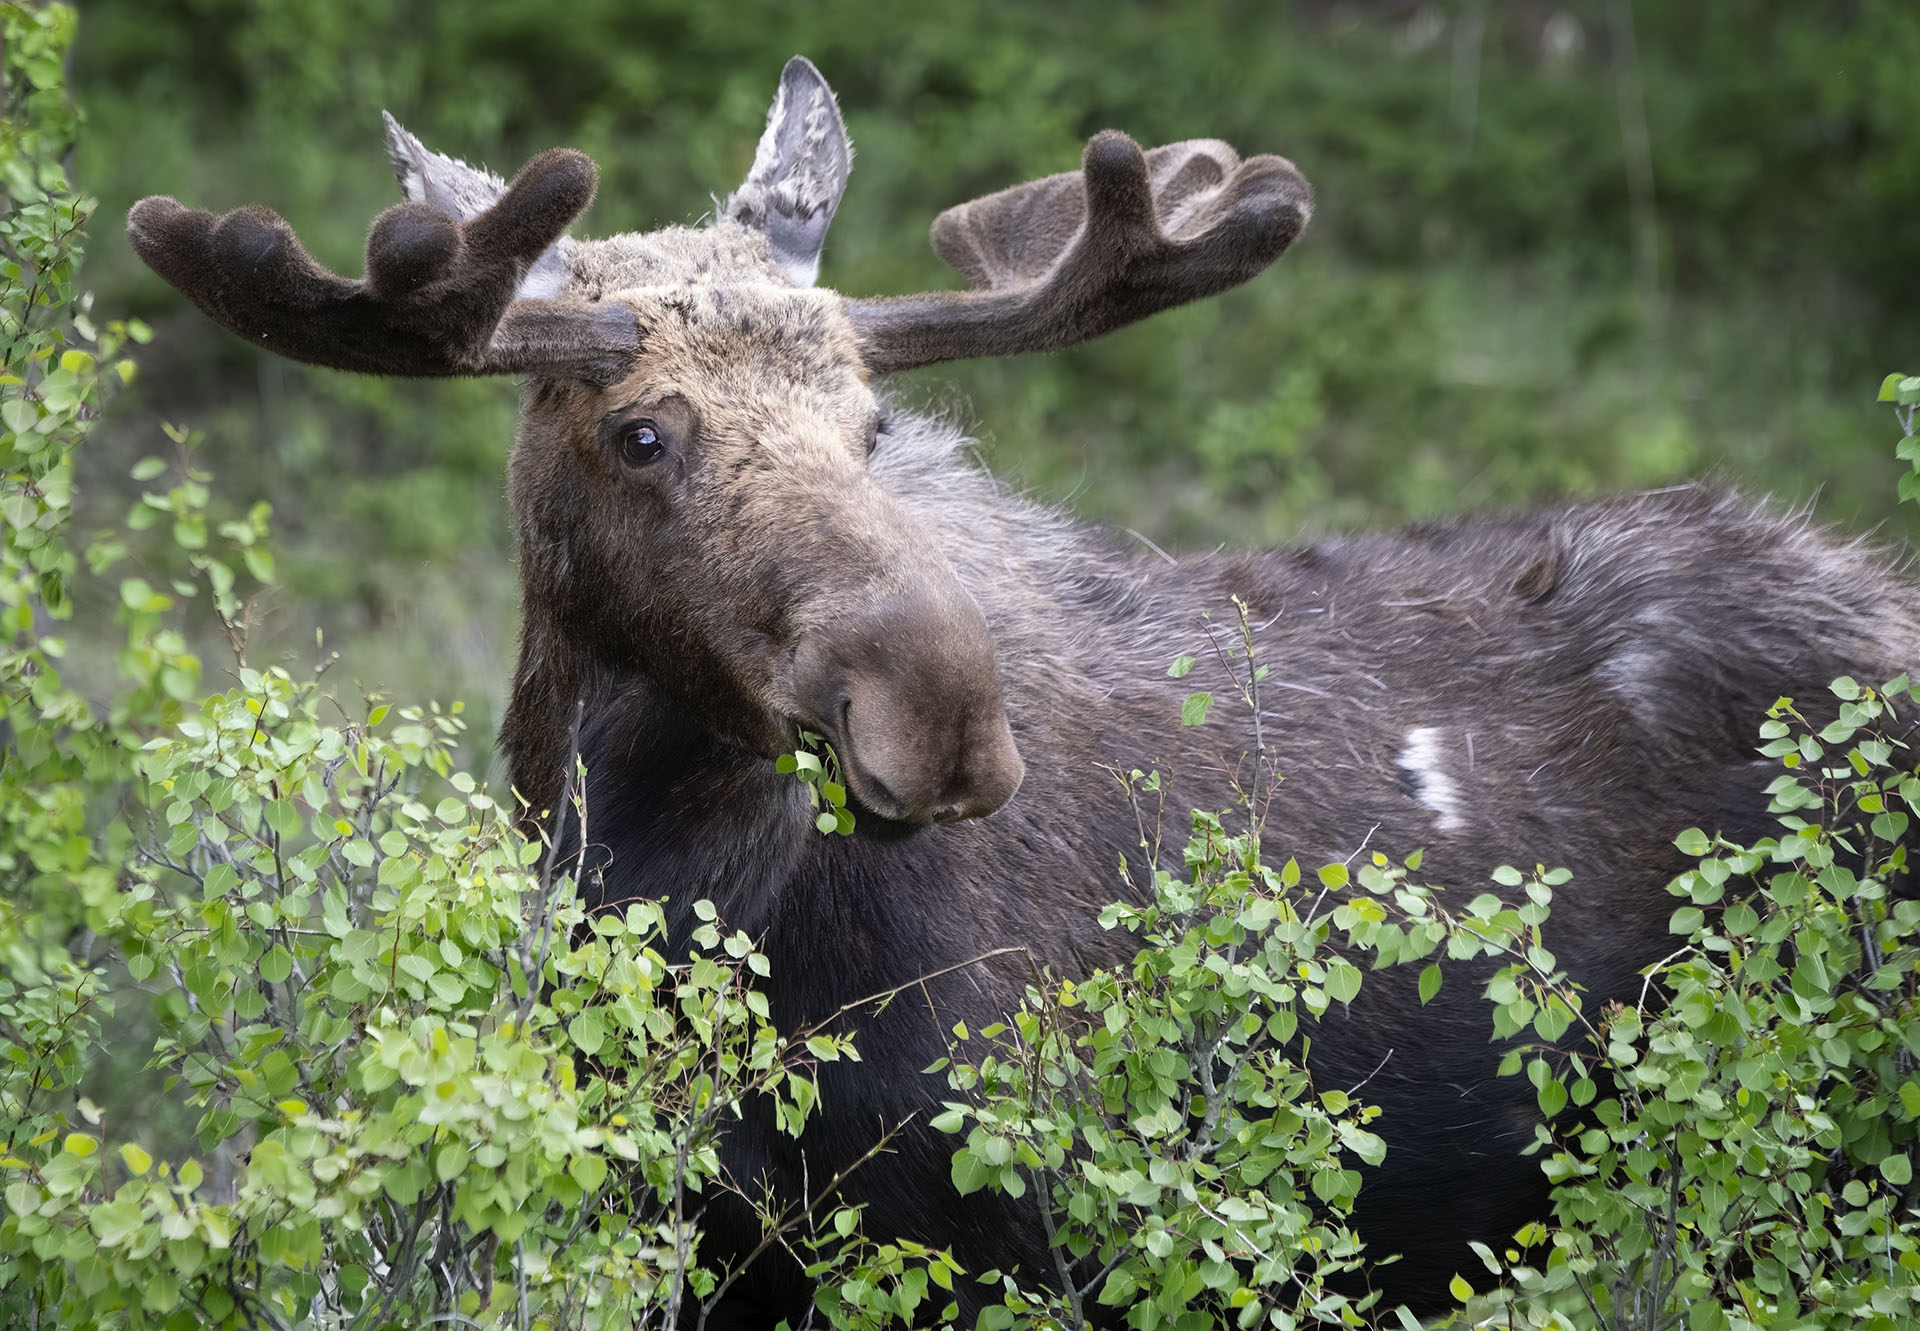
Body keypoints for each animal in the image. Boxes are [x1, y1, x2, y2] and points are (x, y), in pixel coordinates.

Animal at [123, 59, 1920, 1321]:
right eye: (639, 430)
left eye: (872, 423)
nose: (944, 715)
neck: (656, 880)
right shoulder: (711, 1240)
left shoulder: (1009, 1231)